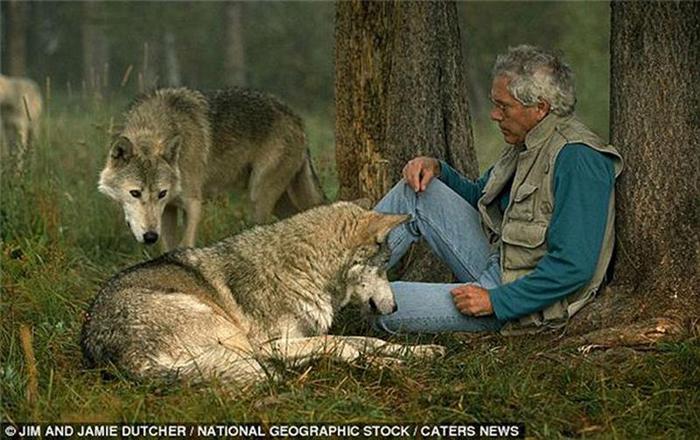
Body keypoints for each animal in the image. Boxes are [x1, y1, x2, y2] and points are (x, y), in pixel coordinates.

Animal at [80, 203, 442, 384]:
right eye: (384, 267)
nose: (395, 308)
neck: (302, 271)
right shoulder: (272, 345)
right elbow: (342, 344)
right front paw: (388, 365)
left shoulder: (301, 337)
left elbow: (368, 341)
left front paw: (418, 352)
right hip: (234, 337)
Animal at [98, 87, 328, 251]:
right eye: (135, 193)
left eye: (161, 193)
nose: (150, 237)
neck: (153, 128)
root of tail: (296, 118)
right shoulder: (169, 210)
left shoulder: (193, 203)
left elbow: (186, 244)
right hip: (281, 202)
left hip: (258, 197)